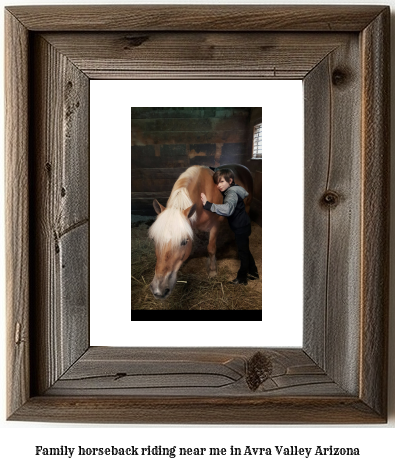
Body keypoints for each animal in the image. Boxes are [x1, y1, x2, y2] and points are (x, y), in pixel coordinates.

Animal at [148, 163, 254, 300]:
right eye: (154, 239)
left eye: (184, 241)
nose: (159, 291)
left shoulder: (214, 226)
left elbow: (211, 248)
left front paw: (212, 270)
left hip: (247, 207)